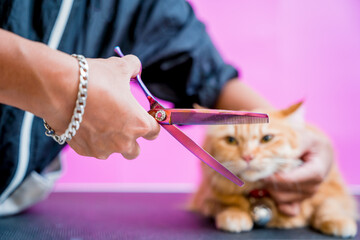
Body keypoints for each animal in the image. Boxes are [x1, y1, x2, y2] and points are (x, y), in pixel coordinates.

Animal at [191, 102, 358, 238]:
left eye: (267, 138)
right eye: (231, 140)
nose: (247, 156)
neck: (260, 192)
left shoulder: (333, 189)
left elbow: (330, 205)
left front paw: (340, 221)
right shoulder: (205, 197)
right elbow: (225, 204)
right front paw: (234, 215)